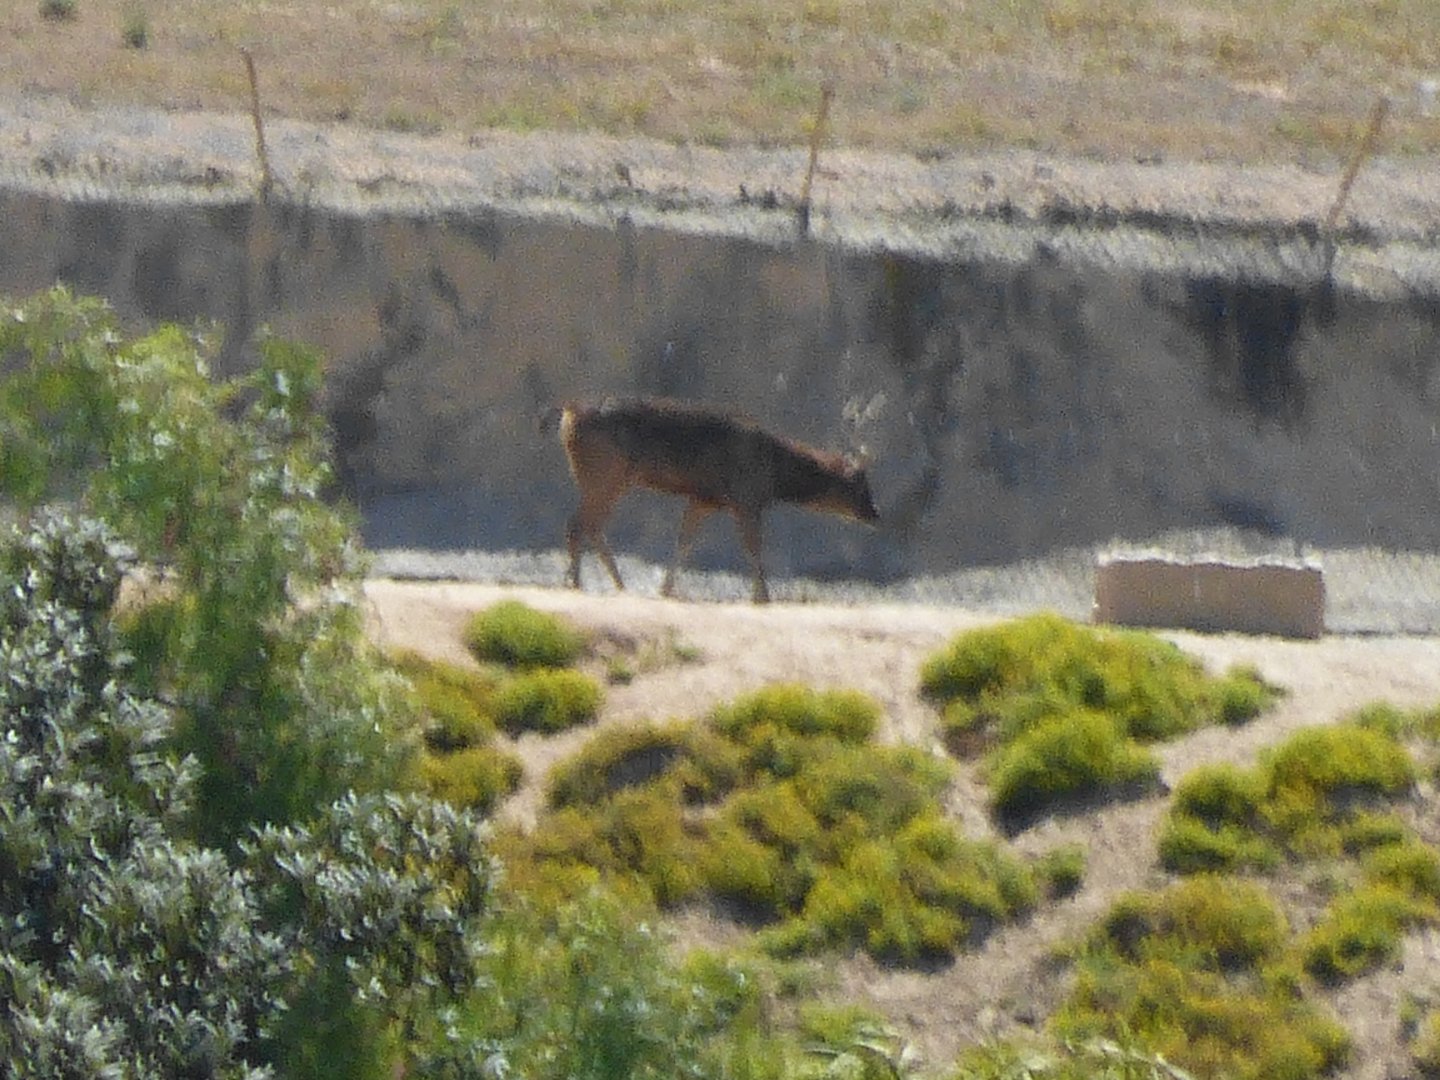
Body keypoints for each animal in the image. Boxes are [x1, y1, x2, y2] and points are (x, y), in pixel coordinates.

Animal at [545, 397, 878, 604]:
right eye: (860, 487)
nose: (874, 514)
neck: (776, 474)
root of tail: (568, 413)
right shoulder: (746, 498)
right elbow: (753, 548)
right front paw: (762, 597)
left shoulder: (704, 499)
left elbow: (685, 541)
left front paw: (666, 589)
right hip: (605, 472)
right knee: (579, 524)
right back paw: (577, 582)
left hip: (609, 478)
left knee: (590, 526)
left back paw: (615, 583)